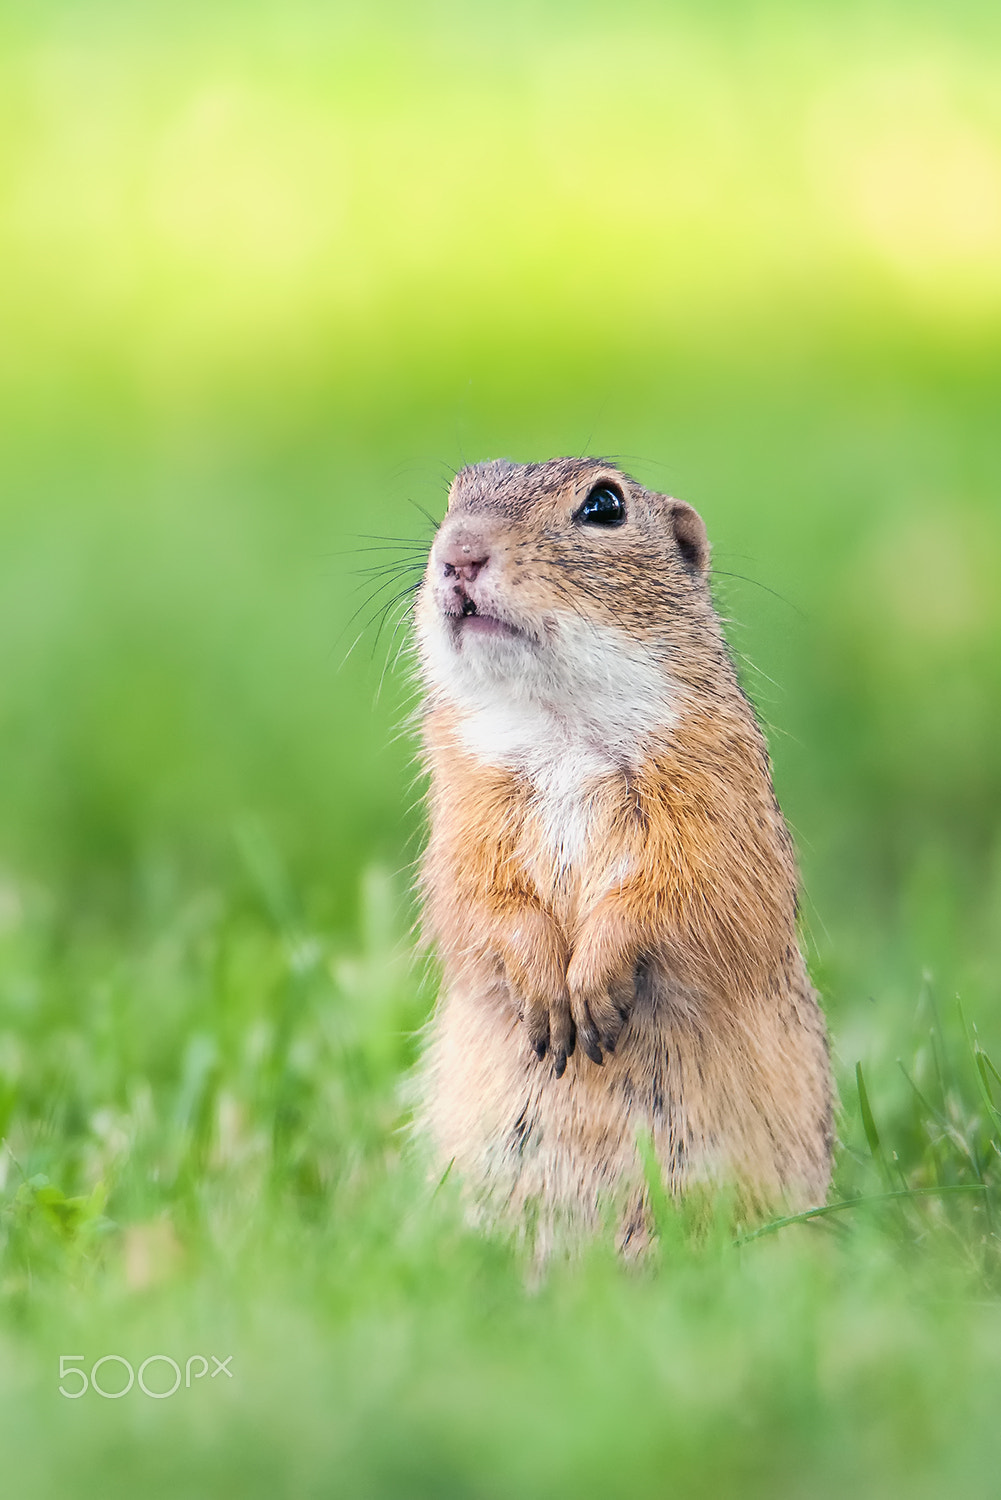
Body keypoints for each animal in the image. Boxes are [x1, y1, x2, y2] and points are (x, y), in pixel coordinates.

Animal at [412, 457, 833, 1247]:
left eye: (603, 505)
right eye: (454, 493)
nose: (458, 555)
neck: (559, 724)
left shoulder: (713, 802)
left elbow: (690, 891)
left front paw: (593, 982)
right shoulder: (463, 812)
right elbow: (474, 898)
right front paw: (547, 991)